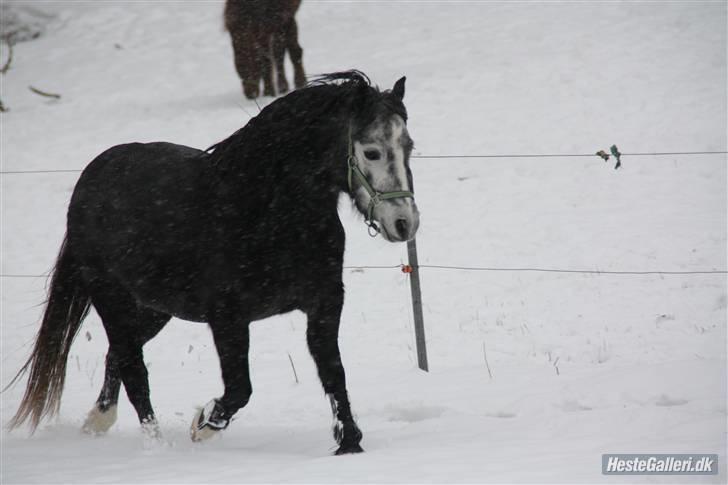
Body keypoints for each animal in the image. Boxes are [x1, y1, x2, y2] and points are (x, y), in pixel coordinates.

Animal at [5, 71, 418, 454]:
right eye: (371, 151)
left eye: (408, 146)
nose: (404, 223)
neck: (267, 210)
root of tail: (91, 175)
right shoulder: (227, 318)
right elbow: (239, 389)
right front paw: (202, 425)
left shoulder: (324, 302)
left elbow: (334, 372)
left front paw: (349, 443)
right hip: (111, 298)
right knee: (134, 370)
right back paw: (156, 446)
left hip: (154, 308)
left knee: (118, 356)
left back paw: (98, 422)